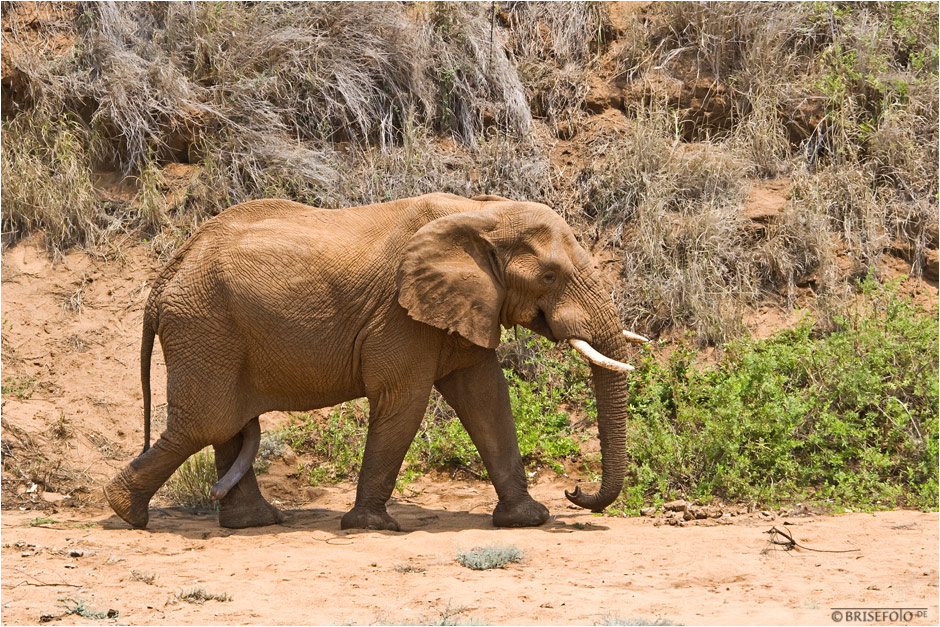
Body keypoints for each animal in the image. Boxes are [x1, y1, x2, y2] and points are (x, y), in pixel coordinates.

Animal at [103, 191, 648, 528]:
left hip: (215, 332)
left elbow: (486, 398)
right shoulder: (398, 316)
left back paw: (254, 522)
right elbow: (404, 401)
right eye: (551, 276)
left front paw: (528, 520)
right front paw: (372, 526)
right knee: (206, 423)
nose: (575, 492)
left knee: (228, 426)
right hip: (203, 326)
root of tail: (165, 276)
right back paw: (127, 512)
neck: (480, 213)